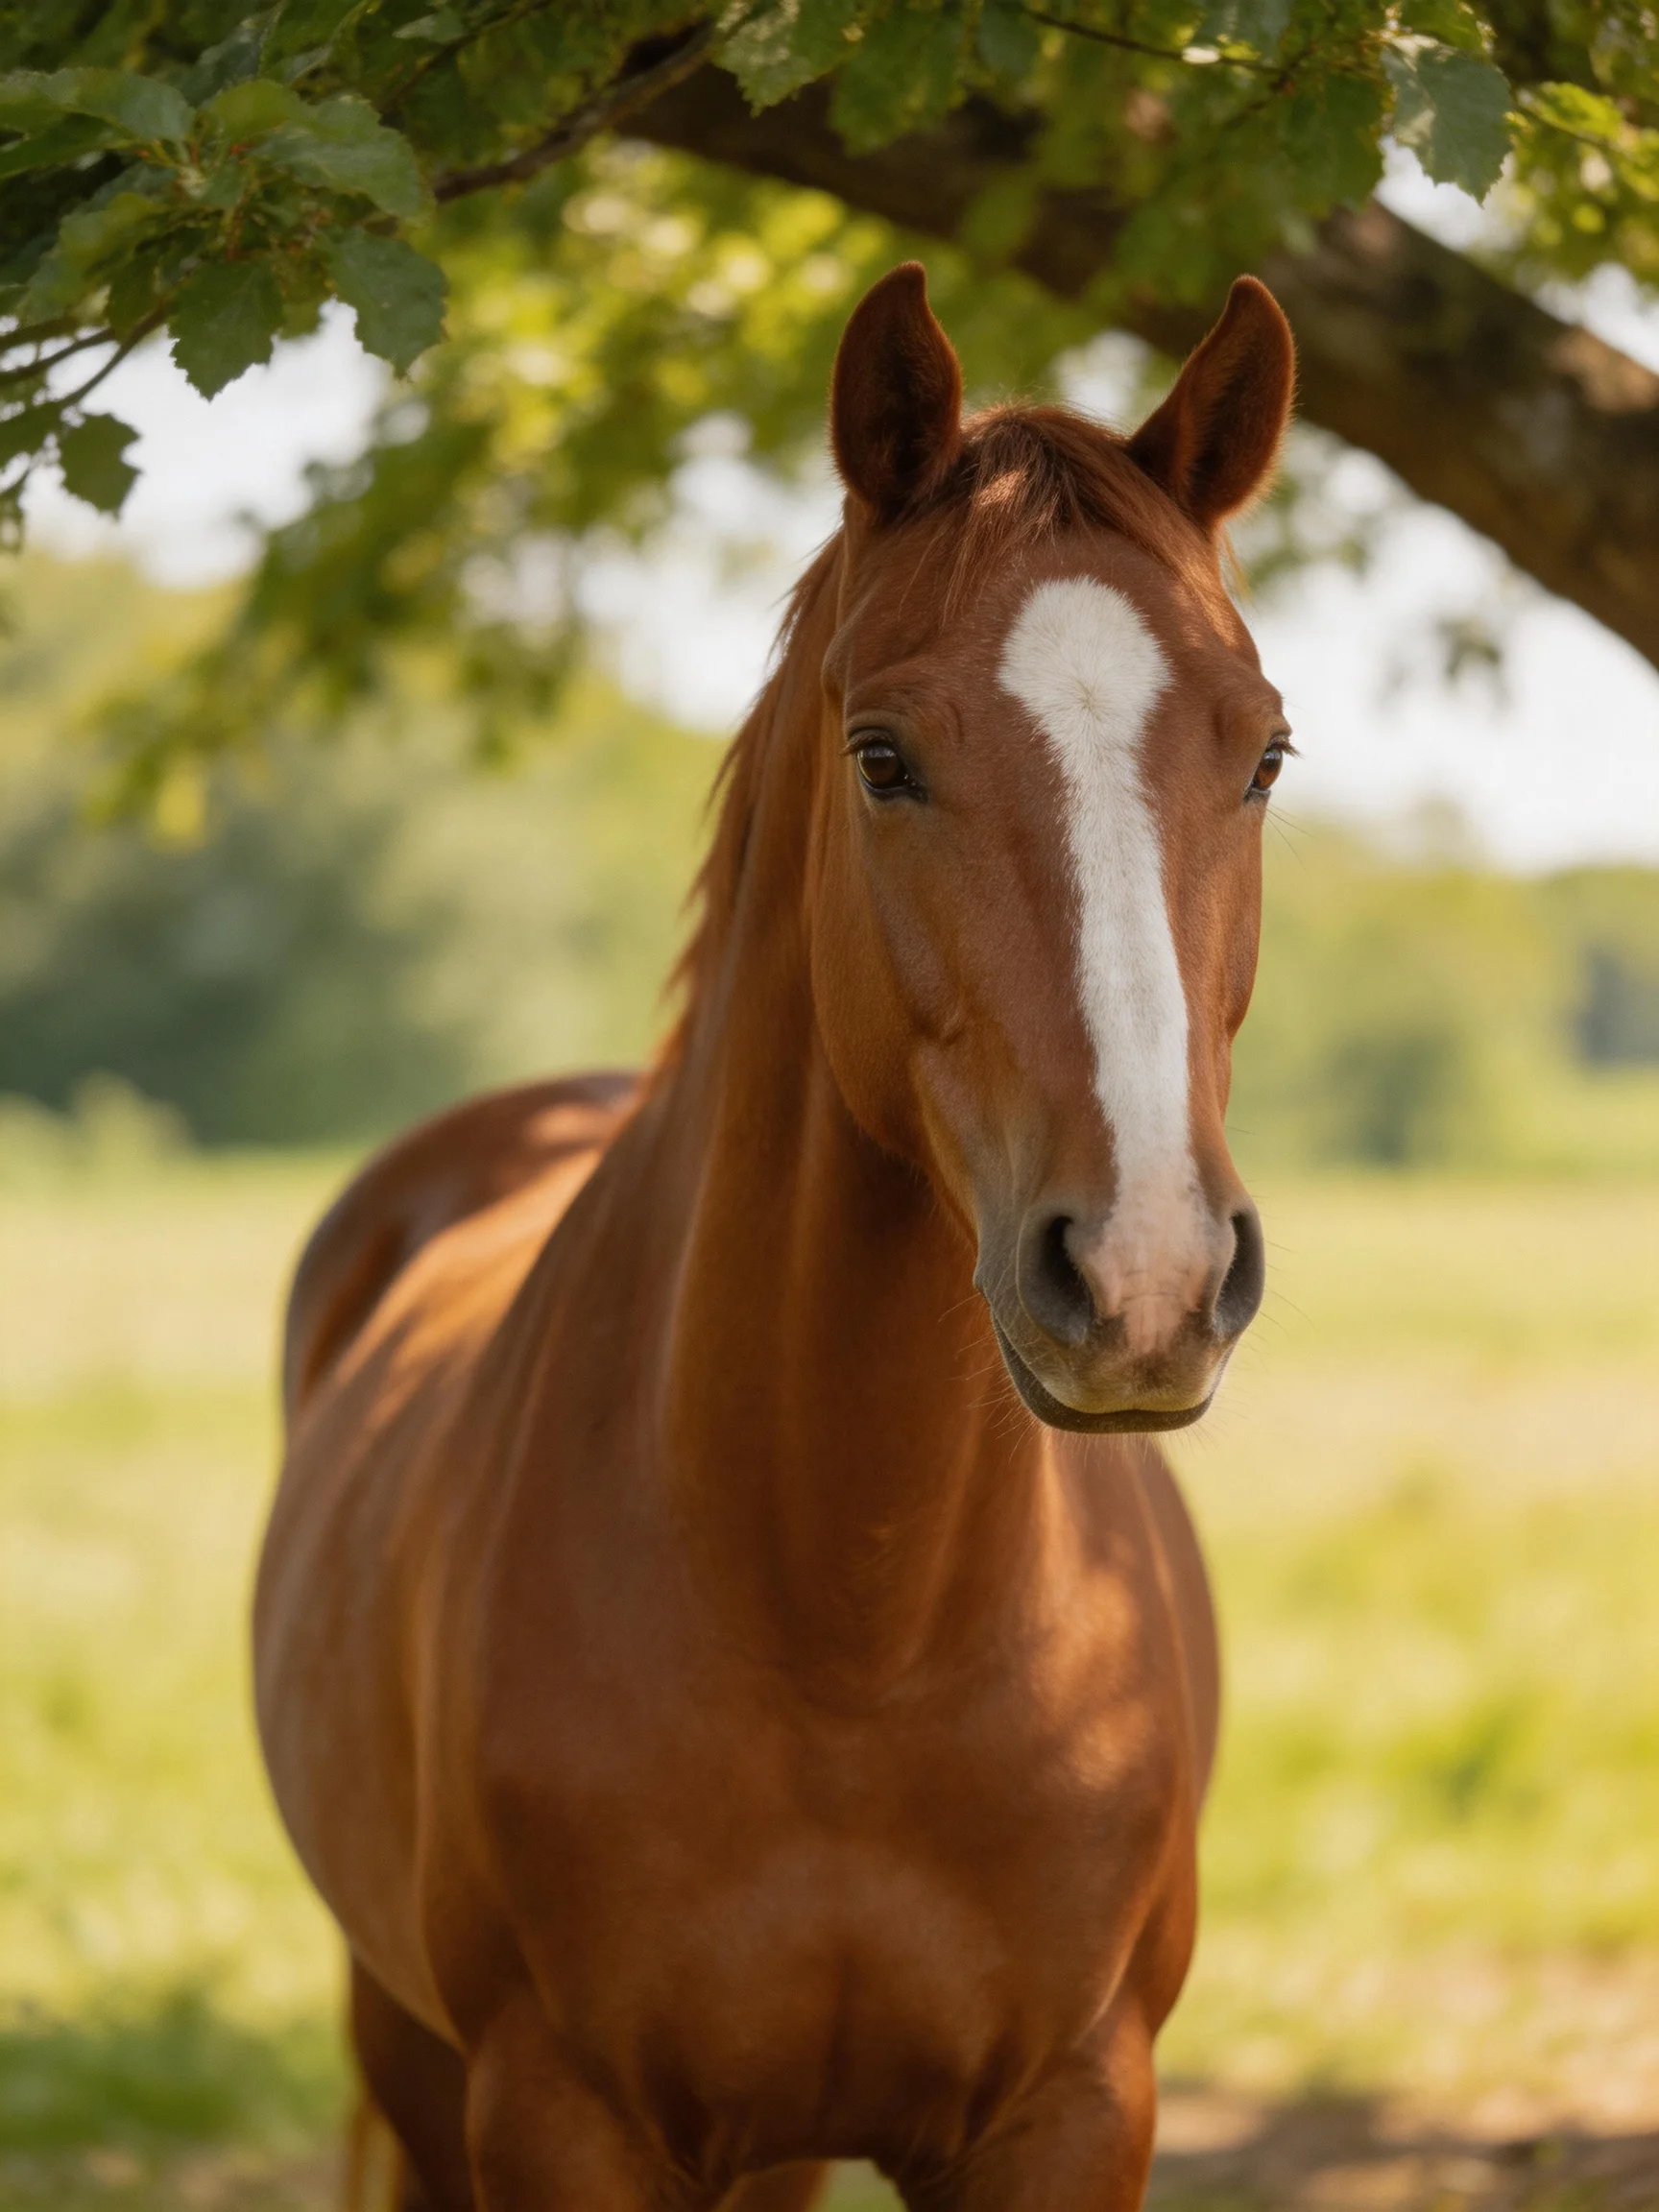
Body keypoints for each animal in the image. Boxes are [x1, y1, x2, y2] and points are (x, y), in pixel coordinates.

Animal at [254, 260, 1296, 2212]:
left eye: (1263, 752)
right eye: (882, 755)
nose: (1142, 1278)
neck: (855, 1637)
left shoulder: (1069, 2113)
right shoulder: (560, 2116)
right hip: (409, 2051)